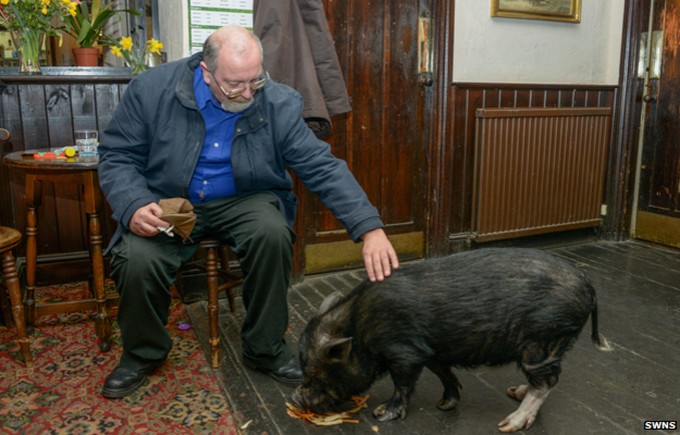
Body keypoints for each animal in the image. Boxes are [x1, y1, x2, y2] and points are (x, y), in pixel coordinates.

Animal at [290, 249, 612, 432]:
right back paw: (514, 392)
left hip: (542, 339)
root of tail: (589, 286)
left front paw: (382, 414)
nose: (296, 397)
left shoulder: (403, 352)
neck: (360, 328)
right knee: (546, 379)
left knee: (547, 381)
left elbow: (402, 383)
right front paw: (445, 405)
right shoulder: (431, 351)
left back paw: (509, 424)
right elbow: (445, 374)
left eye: (316, 372)